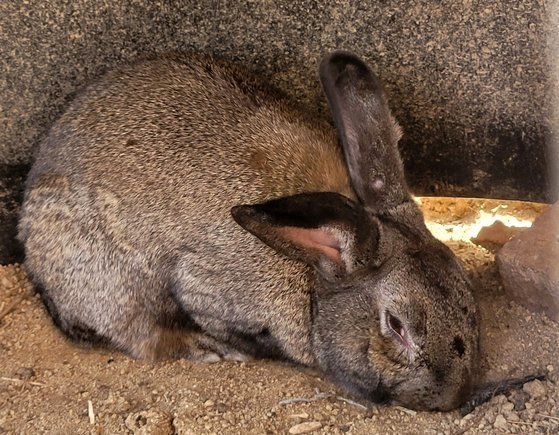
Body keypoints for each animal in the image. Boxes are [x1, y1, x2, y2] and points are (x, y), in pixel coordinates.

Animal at [18, 51, 482, 412]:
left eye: (469, 299)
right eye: (396, 325)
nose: (450, 398)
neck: (314, 281)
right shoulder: (203, 288)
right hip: (110, 280)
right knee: (138, 333)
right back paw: (204, 348)